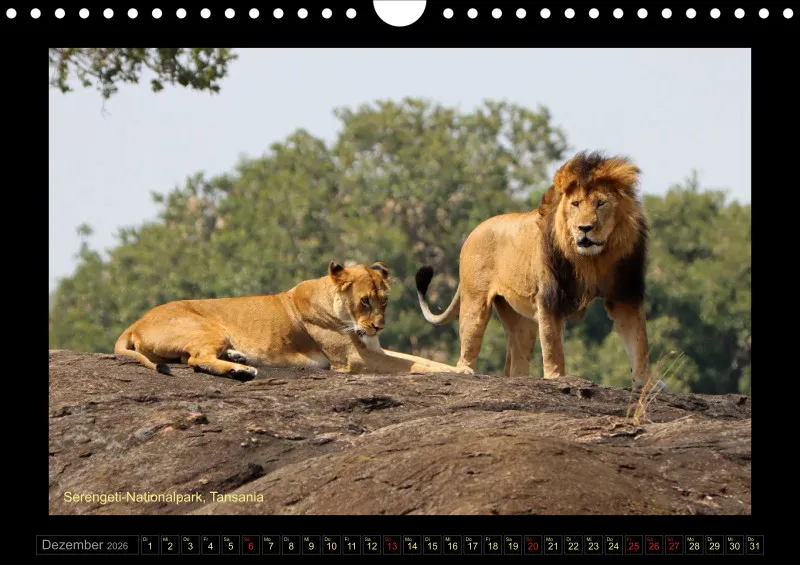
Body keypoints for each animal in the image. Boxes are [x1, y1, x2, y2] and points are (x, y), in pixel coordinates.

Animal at [114, 261, 470, 379]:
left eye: (384, 301)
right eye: (364, 301)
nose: (379, 327)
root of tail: (135, 323)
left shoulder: (373, 350)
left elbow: (417, 359)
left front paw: (461, 369)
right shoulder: (355, 360)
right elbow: (413, 364)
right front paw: (460, 372)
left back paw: (238, 357)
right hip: (209, 327)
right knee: (197, 359)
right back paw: (242, 371)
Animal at [415, 151, 650, 385]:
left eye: (601, 203)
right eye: (575, 204)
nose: (584, 228)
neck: (592, 260)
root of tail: (474, 231)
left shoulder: (625, 295)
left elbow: (638, 342)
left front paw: (645, 383)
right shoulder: (549, 299)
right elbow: (553, 346)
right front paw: (556, 377)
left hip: (520, 318)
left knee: (515, 360)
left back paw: (519, 379)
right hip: (475, 300)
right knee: (470, 336)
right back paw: (465, 370)